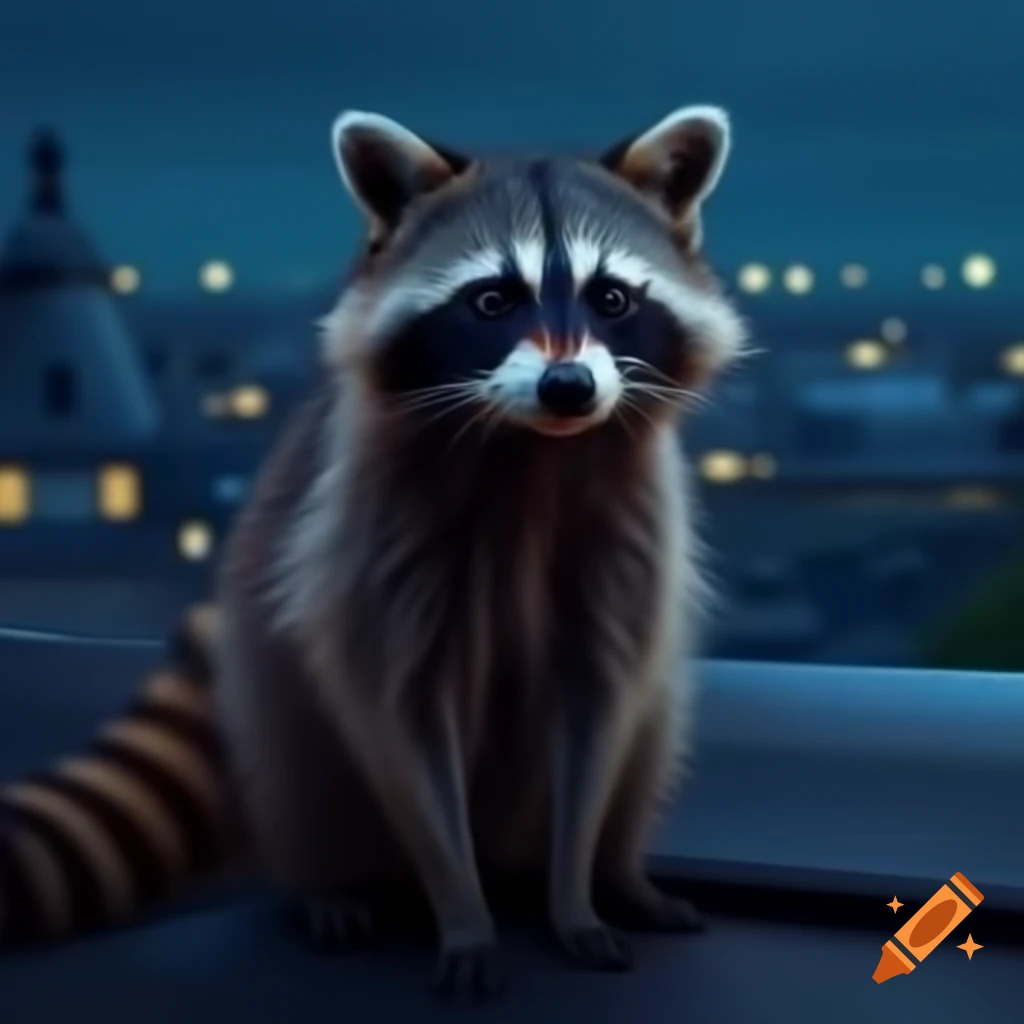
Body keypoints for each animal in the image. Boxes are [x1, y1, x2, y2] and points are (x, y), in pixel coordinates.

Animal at [0, 103, 747, 997]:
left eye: (611, 298)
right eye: (492, 299)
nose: (568, 388)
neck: (533, 450)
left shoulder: (625, 546)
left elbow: (598, 720)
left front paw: (575, 898)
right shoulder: (369, 545)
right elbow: (401, 725)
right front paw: (463, 916)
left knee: (649, 738)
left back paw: (621, 875)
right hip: (280, 706)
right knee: (301, 771)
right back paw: (329, 887)